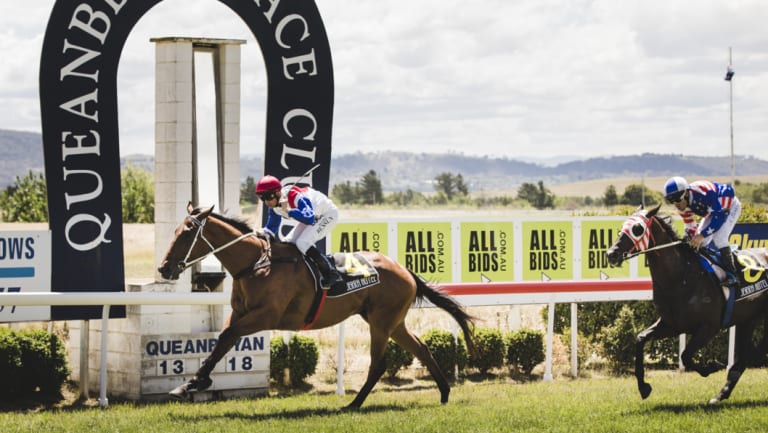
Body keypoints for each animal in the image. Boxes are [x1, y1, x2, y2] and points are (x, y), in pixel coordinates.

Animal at [157, 204, 474, 406]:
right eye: (174, 231)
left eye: (187, 233)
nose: (164, 268)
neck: (256, 264)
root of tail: (406, 271)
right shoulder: (240, 313)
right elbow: (221, 341)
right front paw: (189, 384)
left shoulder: (266, 316)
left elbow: (226, 336)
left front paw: (193, 384)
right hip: (393, 322)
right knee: (421, 348)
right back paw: (444, 393)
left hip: (382, 322)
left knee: (379, 363)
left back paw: (353, 404)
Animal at [608, 204, 768, 404]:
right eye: (622, 226)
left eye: (638, 229)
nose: (611, 254)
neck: (680, 276)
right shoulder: (673, 324)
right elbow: (640, 338)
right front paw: (644, 387)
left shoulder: (709, 326)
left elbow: (685, 355)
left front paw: (712, 367)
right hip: (748, 319)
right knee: (745, 356)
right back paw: (721, 394)